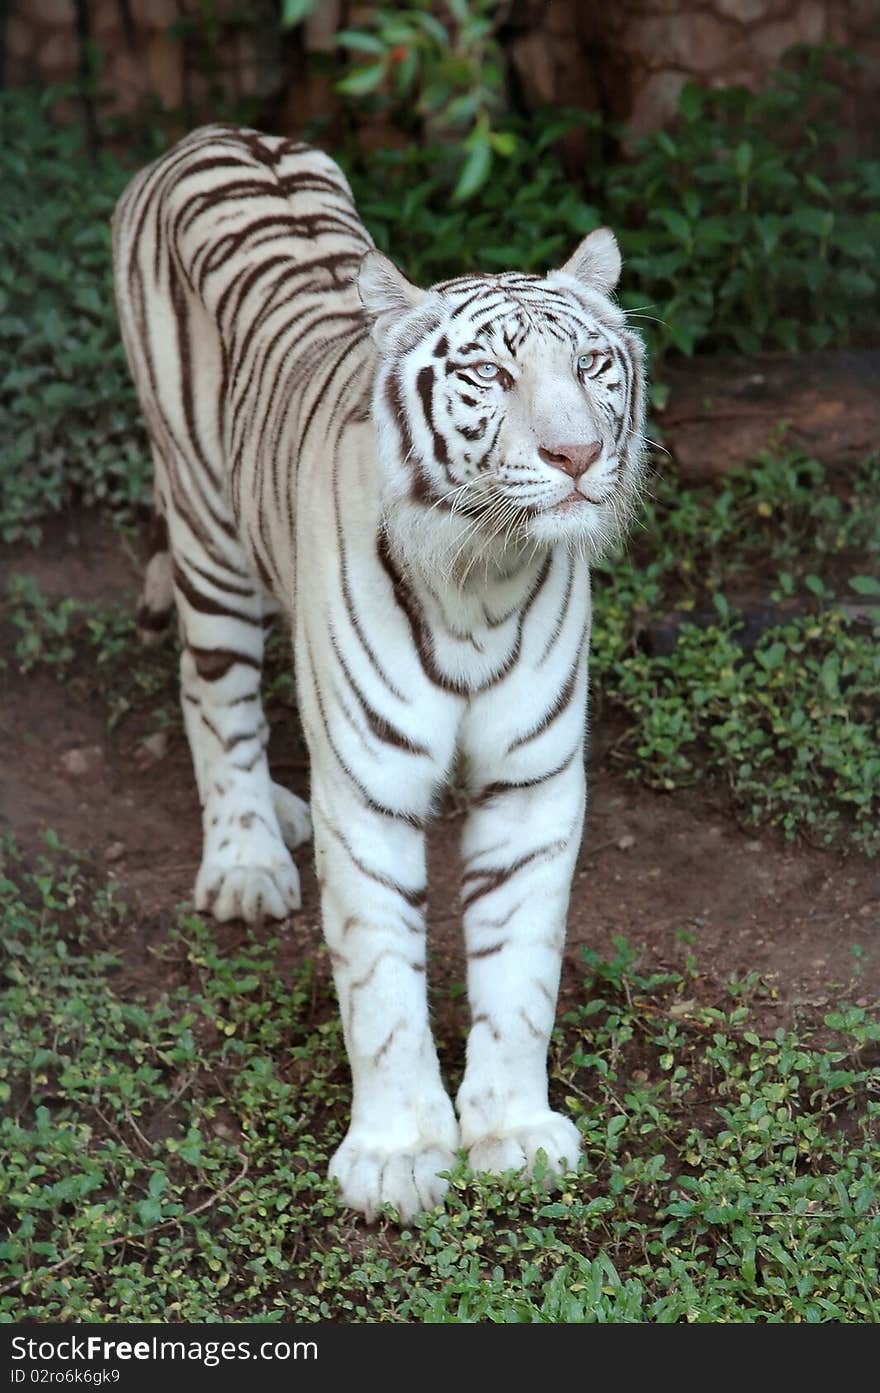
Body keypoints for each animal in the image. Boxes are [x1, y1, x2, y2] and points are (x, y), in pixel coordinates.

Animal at [111, 128, 646, 1220]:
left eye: (592, 363)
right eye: (488, 373)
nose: (577, 454)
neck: (484, 575)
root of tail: (214, 133)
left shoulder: (533, 785)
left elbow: (521, 973)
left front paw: (512, 1134)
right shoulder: (367, 787)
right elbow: (381, 982)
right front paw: (398, 1157)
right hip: (207, 534)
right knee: (214, 695)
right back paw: (246, 857)